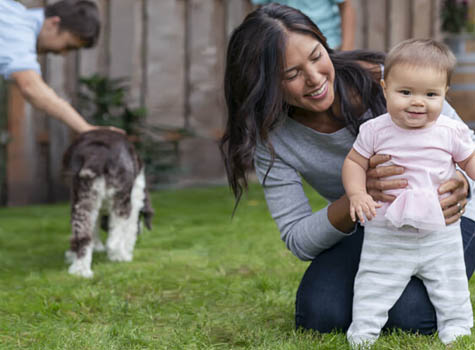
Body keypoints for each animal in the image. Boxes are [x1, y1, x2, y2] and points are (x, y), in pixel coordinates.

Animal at [61, 130, 154, 278]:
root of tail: (96, 155)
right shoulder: (134, 200)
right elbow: (130, 230)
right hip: (121, 201)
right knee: (113, 241)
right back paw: (121, 257)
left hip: (81, 200)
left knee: (81, 237)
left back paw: (80, 271)